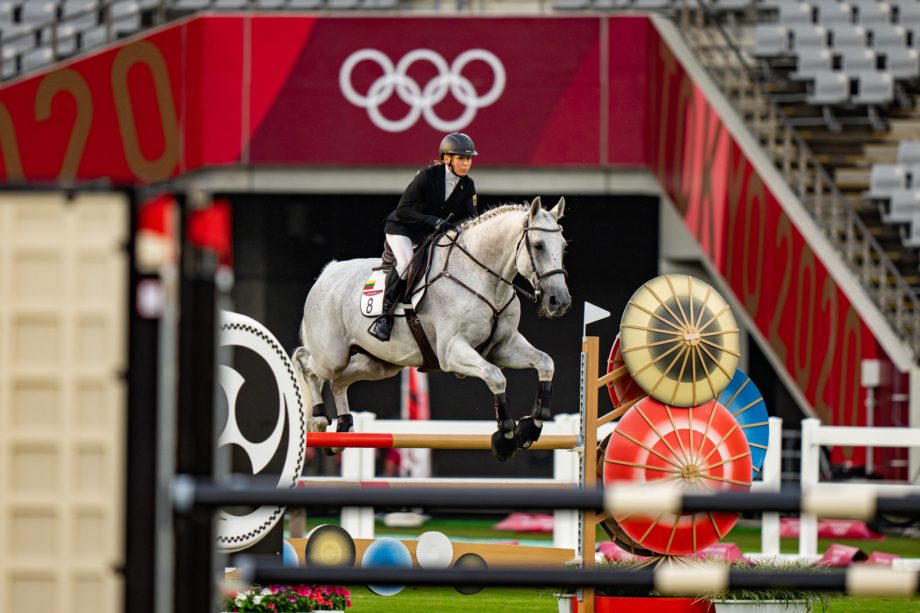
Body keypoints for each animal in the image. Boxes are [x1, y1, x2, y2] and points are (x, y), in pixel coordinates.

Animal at [292, 196, 572, 460]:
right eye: (538, 245)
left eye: (563, 246)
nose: (559, 301)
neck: (482, 277)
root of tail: (327, 273)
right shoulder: (452, 352)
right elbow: (495, 376)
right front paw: (505, 438)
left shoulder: (503, 347)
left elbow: (546, 363)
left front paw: (531, 427)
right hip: (332, 356)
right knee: (305, 362)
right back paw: (318, 420)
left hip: (379, 363)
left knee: (339, 381)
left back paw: (342, 432)